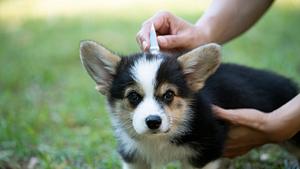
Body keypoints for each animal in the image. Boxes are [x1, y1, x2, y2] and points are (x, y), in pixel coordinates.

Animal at [79, 40, 298, 168]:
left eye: (169, 95)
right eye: (133, 96)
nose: (153, 122)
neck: (159, 140)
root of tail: (290, 83)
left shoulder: (206, 154)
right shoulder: (134, 158)